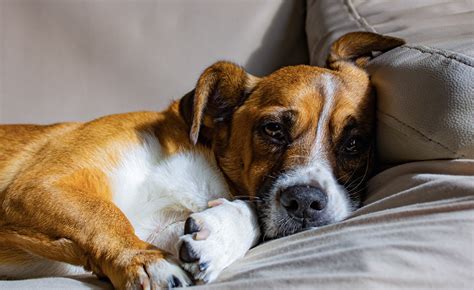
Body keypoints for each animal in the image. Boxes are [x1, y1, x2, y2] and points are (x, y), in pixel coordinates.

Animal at [0, 31, 404, 288]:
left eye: (355, 143)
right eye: (273, 129)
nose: (305, 202)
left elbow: (247, 212)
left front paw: (220, 236)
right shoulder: (38, 186)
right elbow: (104, 214)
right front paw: (144, 261)